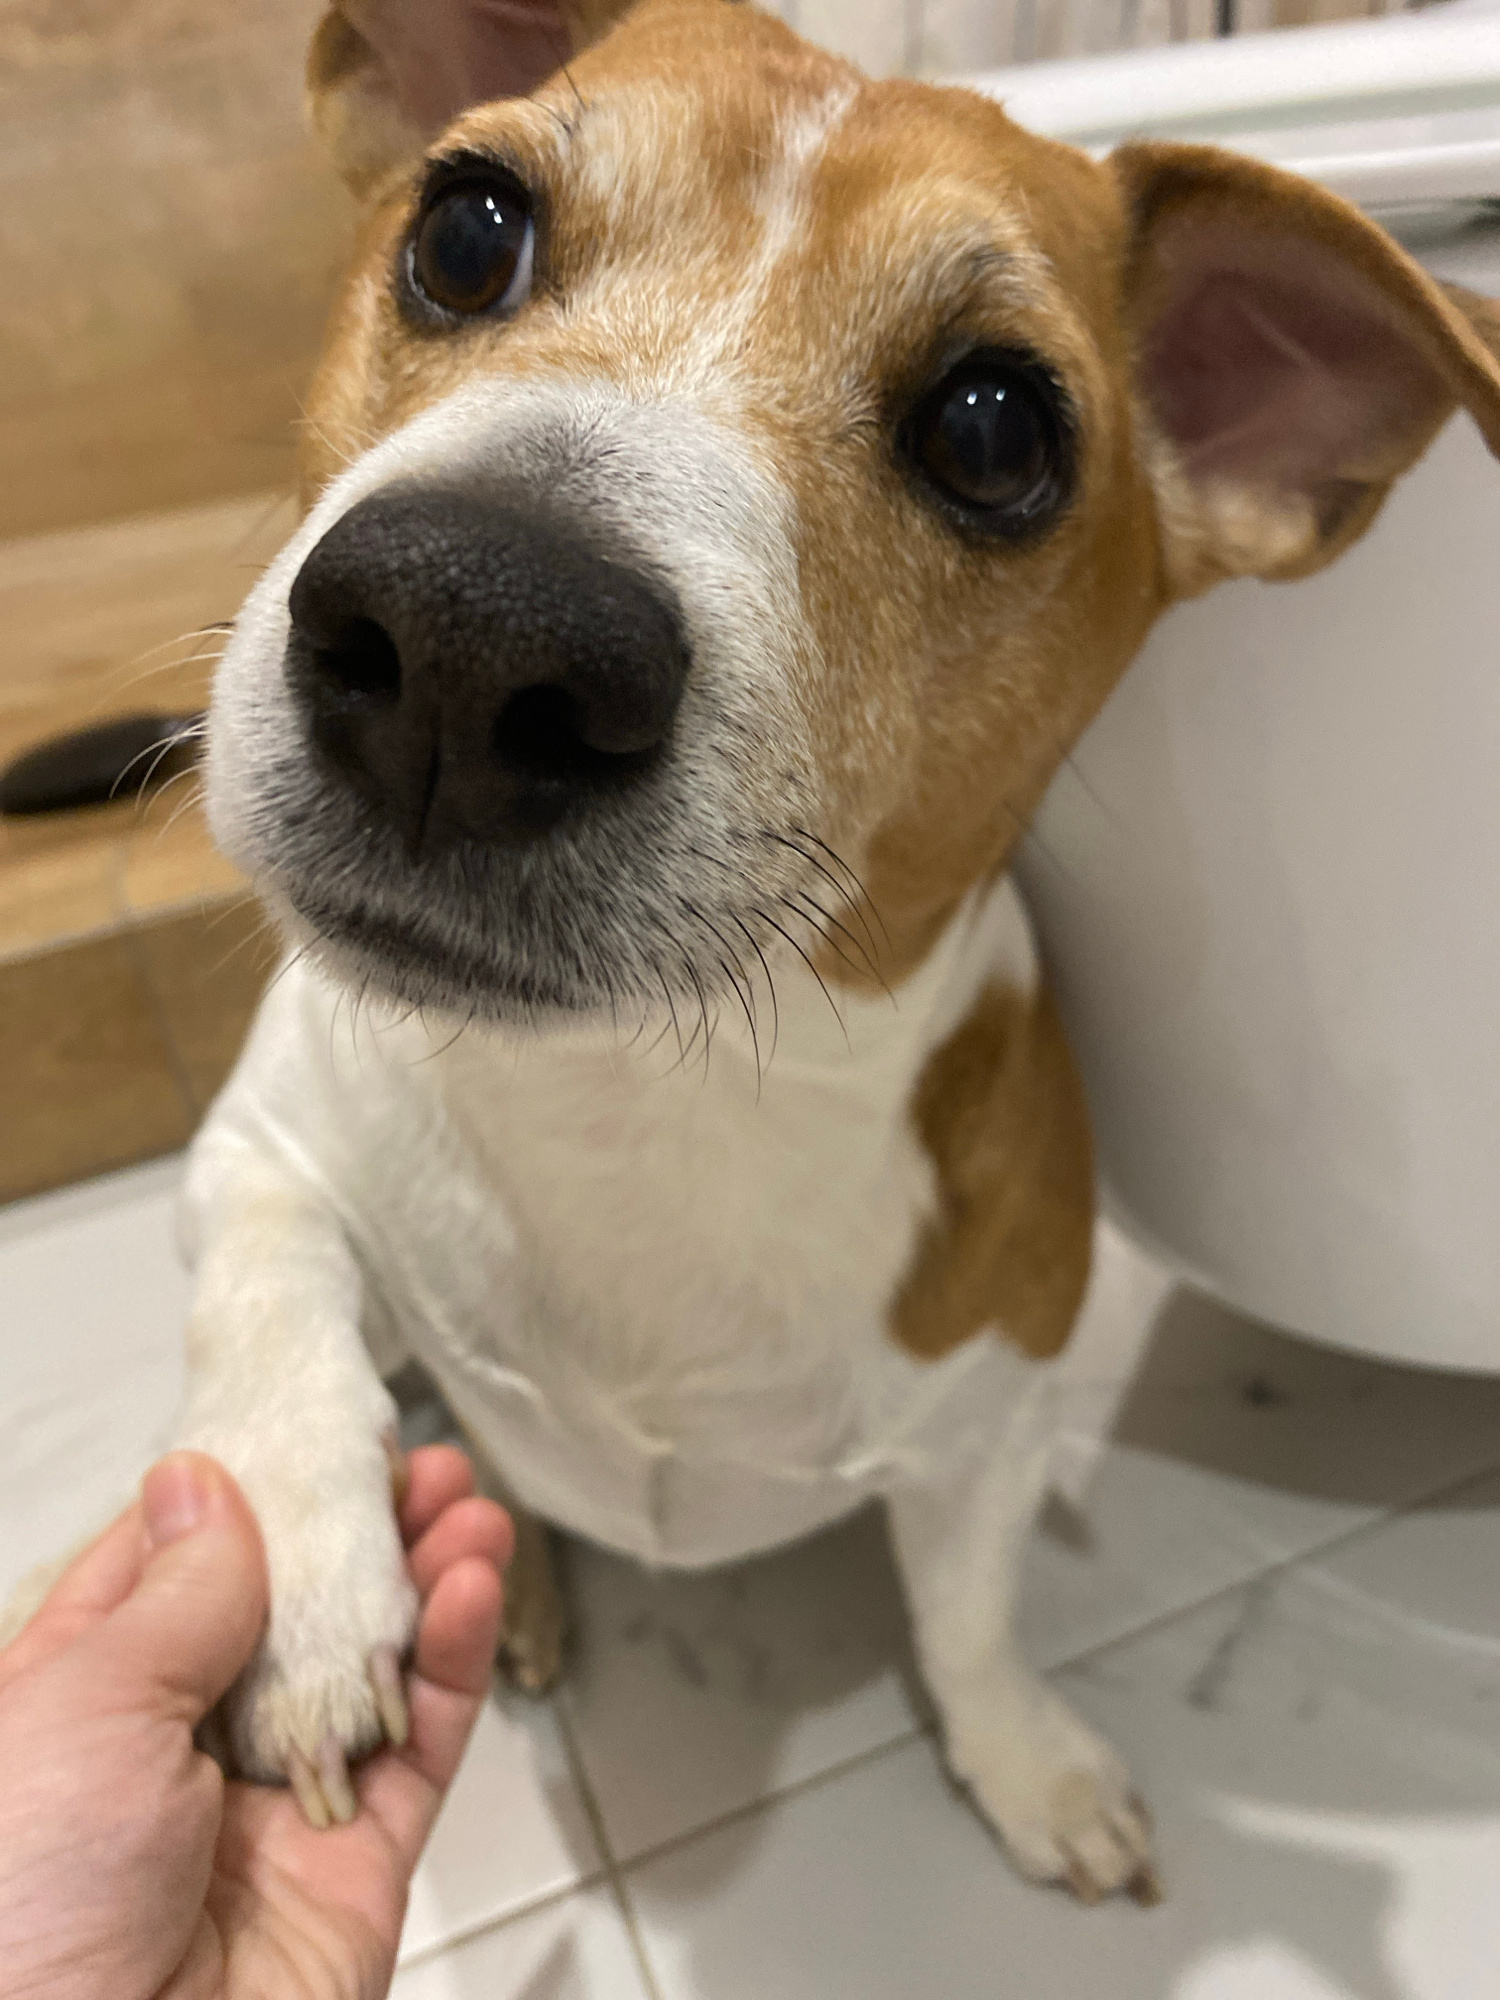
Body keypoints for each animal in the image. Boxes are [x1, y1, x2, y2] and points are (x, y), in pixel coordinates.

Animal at [45, 0, 1500, 1901]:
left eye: (993, 430)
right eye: (466, 232)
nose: (467, 633)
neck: (642, 1105)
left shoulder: (987, 1426)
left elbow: (966, 1623)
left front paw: (1025, 1764)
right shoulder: (266, 1139)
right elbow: (267, 1297)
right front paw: (299, 1574)